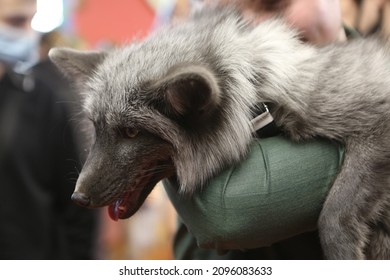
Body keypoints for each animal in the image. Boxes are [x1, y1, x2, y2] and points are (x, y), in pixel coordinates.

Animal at [49, 5, 390, 260]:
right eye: (97, 128)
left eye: (131, 132)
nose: (77, 197)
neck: (258, 94)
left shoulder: (377, 125)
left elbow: (333, 214)